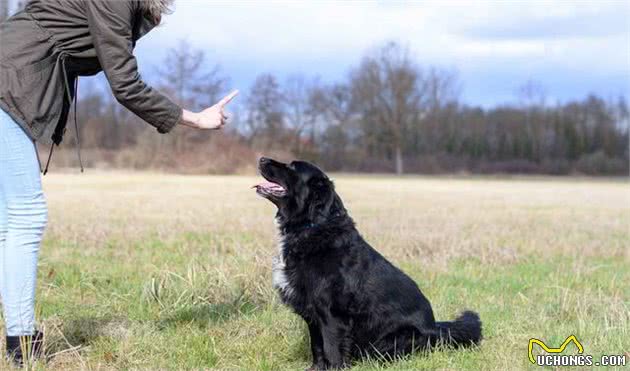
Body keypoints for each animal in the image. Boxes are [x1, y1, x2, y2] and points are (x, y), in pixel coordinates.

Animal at [254, 158, 482, 370]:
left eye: (292, 167)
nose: (262, 159)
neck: (312, 227)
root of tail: (436, 328)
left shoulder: (332, 314)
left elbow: (332, 349)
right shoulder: (313, 313)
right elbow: (317, 347)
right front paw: (316, 368)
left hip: (395, 339)